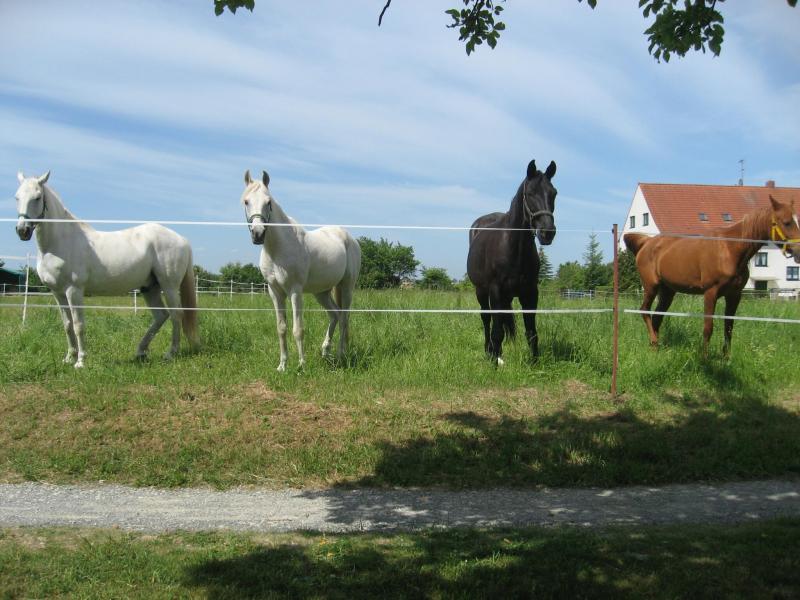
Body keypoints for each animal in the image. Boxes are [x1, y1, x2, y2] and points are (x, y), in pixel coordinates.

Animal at [14, 171, 200, 368]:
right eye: (17, 197)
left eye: (37, 197)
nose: (22, 230)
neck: (61, 242)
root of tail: (182, 239)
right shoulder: (58, 293)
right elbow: (67, 324)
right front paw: (69, 358)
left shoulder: (74, 290)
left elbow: (78, 325)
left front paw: (80, 361)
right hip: (149, 288)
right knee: (161, 316)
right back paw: (140, 351)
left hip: (169, 286)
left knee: (176, 314)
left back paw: (171, 353)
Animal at [240, 170, 361, 371]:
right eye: (246, 201)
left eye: (268, 202)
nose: (258, 234)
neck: (278, 249)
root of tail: (349, 238)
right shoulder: (275, 292)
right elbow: (281, 328)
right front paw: (282, 365)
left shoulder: (295, 291)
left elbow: (298, 329)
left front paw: (302, 365)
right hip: (322, 292)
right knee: (335, 315)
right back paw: (325, 351)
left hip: (347, 287)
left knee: (344, 318)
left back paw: (340, 354)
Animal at [466, 159, 558, 365]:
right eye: (530, 193)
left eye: (554, 193)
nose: (547, 232)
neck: (514, 247)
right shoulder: (496, 291)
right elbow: (496, 331)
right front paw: (494, 362)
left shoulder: (530, 292)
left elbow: (531, 332)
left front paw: (534, 362)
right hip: (481, 291)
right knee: (487, 319)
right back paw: (489, 351)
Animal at [624, 194, 800, 356]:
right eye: (787, 222)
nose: (798, 251)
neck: (729, 249)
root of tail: (646, 243)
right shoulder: (710, 292)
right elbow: (708, 327)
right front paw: (705, 358)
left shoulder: (734, 295)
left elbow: (729, 326)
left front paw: (726, 358)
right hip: (651, 286)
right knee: (644, 310)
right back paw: (654, 342)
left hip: (667, 292)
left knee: (656, 317)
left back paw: (655, 348)